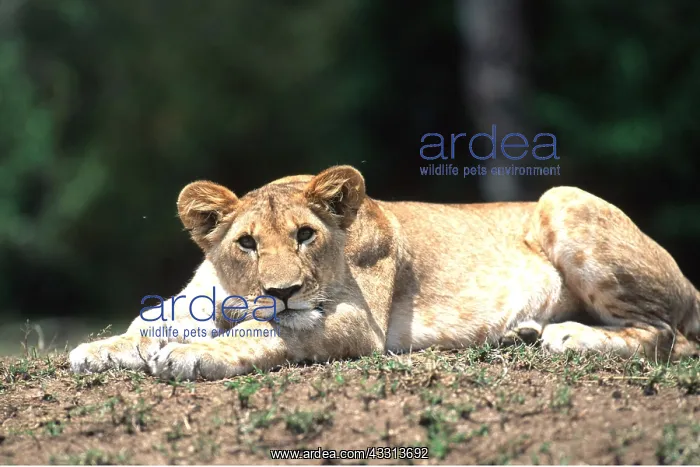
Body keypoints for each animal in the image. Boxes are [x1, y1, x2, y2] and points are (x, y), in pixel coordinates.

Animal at [69, 165, 700, 380]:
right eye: (246, 243)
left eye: (306, 235)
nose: (282, 290)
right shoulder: (199, 297)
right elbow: (149, 320)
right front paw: (98, 349)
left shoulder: (357, 321)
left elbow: (268, 330)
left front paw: (194, 354)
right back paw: (521, 331)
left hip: (562, 197)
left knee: (666, 335)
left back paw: (566, 336)